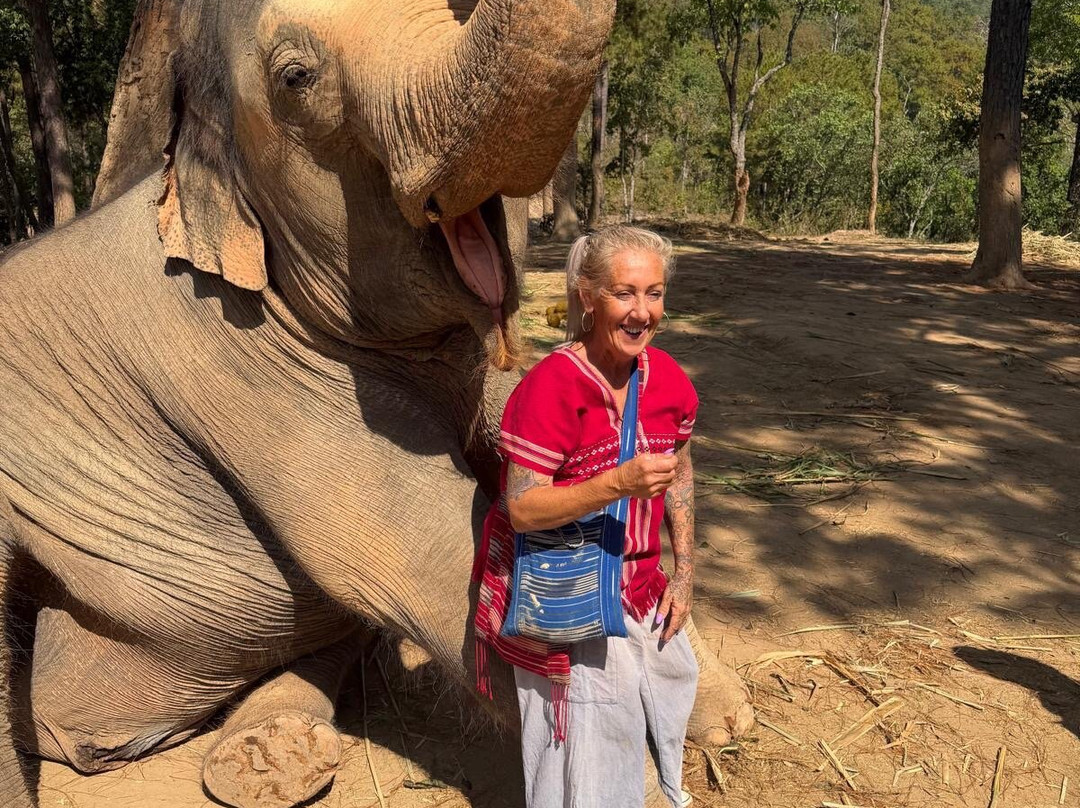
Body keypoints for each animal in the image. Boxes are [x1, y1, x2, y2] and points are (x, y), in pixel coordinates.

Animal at [0, 0, 753, 806]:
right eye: (295, 79)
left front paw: (723, 712)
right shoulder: (232, 355)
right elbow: (425, 543)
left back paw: (272, 755)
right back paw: (265, 763)